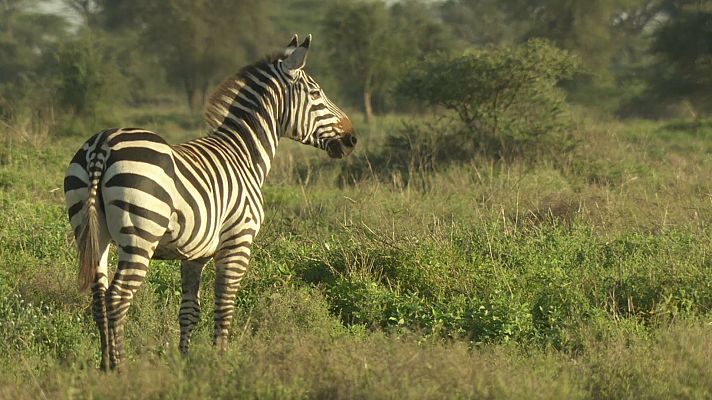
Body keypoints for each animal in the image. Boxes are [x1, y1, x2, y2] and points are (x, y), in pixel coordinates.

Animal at [62, 36, 356, 370]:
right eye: (316, 93)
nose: (352, 139)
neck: (244, 154)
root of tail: (102, 144)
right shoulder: (238, 242)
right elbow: (225, 303)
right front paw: (221, 361)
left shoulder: (194, 255)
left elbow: (188, 310)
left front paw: (184, 361)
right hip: (141, 235)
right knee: (117, 297)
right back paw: (120, 368)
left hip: (91, 233)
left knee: (98, 299)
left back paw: (103, 366)